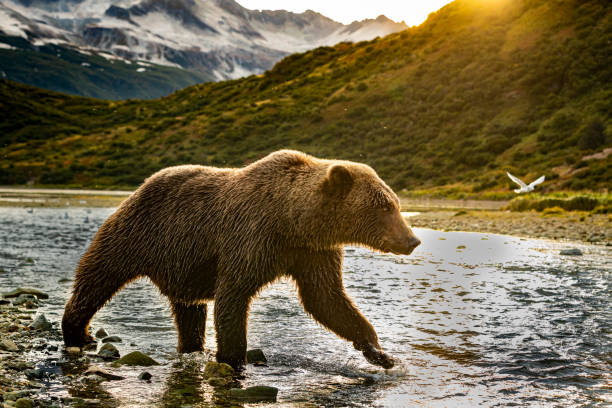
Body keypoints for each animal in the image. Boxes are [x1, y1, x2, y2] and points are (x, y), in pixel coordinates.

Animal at [62, 150, 420, 370]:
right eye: (385, 206)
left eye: (396, 203)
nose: (412, 240)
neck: (292, 220)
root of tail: (141, 185)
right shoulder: (250, 237)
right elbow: (233, 295)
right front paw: (234, 359)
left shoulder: (312, 252)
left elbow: (326, 298)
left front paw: (378, 352)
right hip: (137, 232)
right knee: (98, 275)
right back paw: (78, 332)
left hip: (183, 263)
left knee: (189, 309)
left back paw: (191, 347)